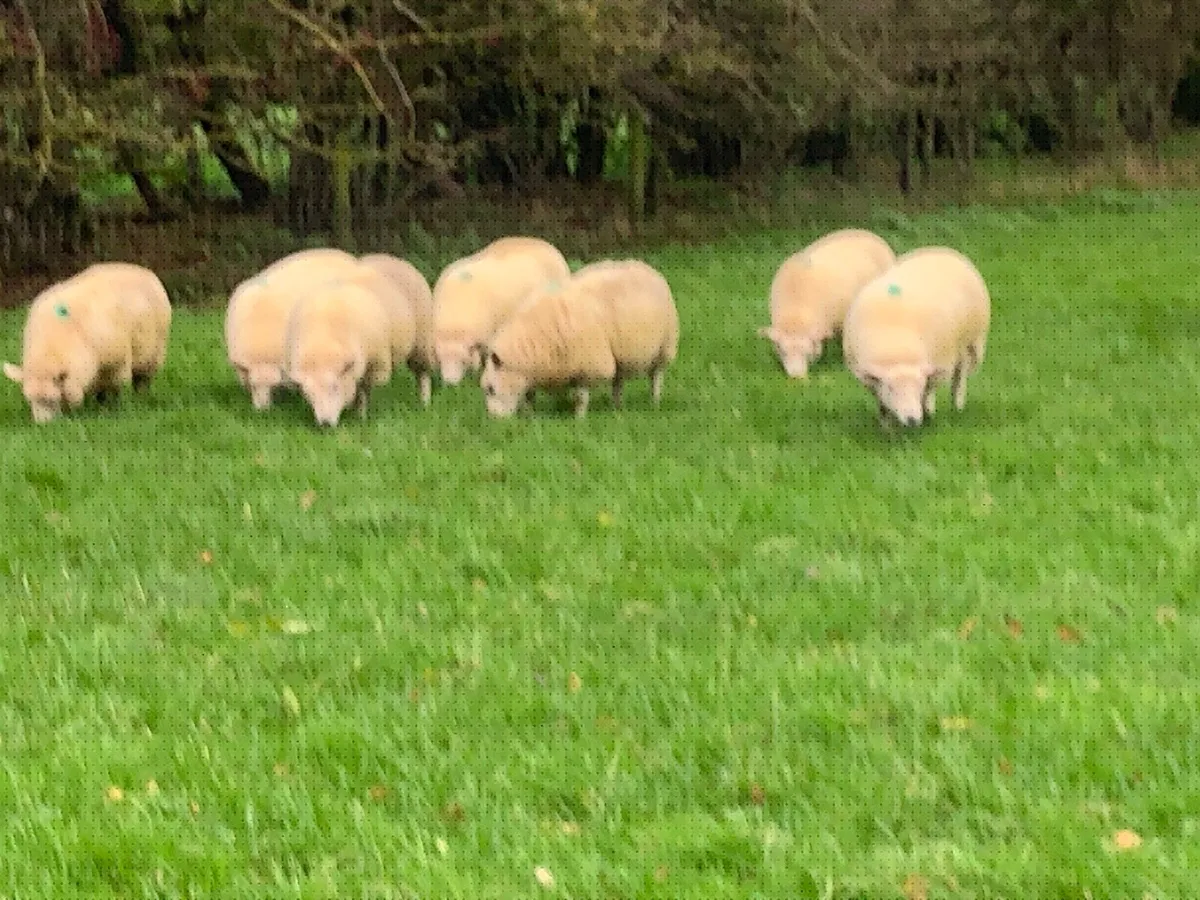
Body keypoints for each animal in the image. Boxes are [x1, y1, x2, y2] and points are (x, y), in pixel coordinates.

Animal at [4, 262, 172, 423]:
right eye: (30, 401)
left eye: (51, 400)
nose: (43, 426)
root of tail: (141, 269)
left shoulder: (116, 363)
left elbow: (116, 387)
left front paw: (113, 408)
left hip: (153, 352)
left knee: (142, 379)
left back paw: (140, 397)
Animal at [283, 279, 394, 427]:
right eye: (308, 394)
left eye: (335, 387)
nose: (325, 423)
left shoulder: (370, 368)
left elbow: (363, 393)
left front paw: (361, 417)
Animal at [480, 259, 678, 418]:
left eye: (491, 388)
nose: (495, 421)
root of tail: (646, 267)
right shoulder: (532, 373)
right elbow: (529, 396)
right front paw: (530, 416)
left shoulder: (587, 366)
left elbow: (580, 397)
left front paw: (579, 419)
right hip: (620, 356)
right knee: (618, 381)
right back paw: (617, 407)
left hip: (664, 348)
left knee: (655, 377)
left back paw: (654, 401)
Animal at [841, 246, 990, 427]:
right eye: (891, 388)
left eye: (919, 386)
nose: (912, 419)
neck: (898, 348)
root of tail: (940, 249)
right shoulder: (871, 379)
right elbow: (882, 402)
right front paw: (886, 425)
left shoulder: (936, 367)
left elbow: (928, 393)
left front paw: (928, 414)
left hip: (970, 342)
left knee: (960, 376)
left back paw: (957, 405)